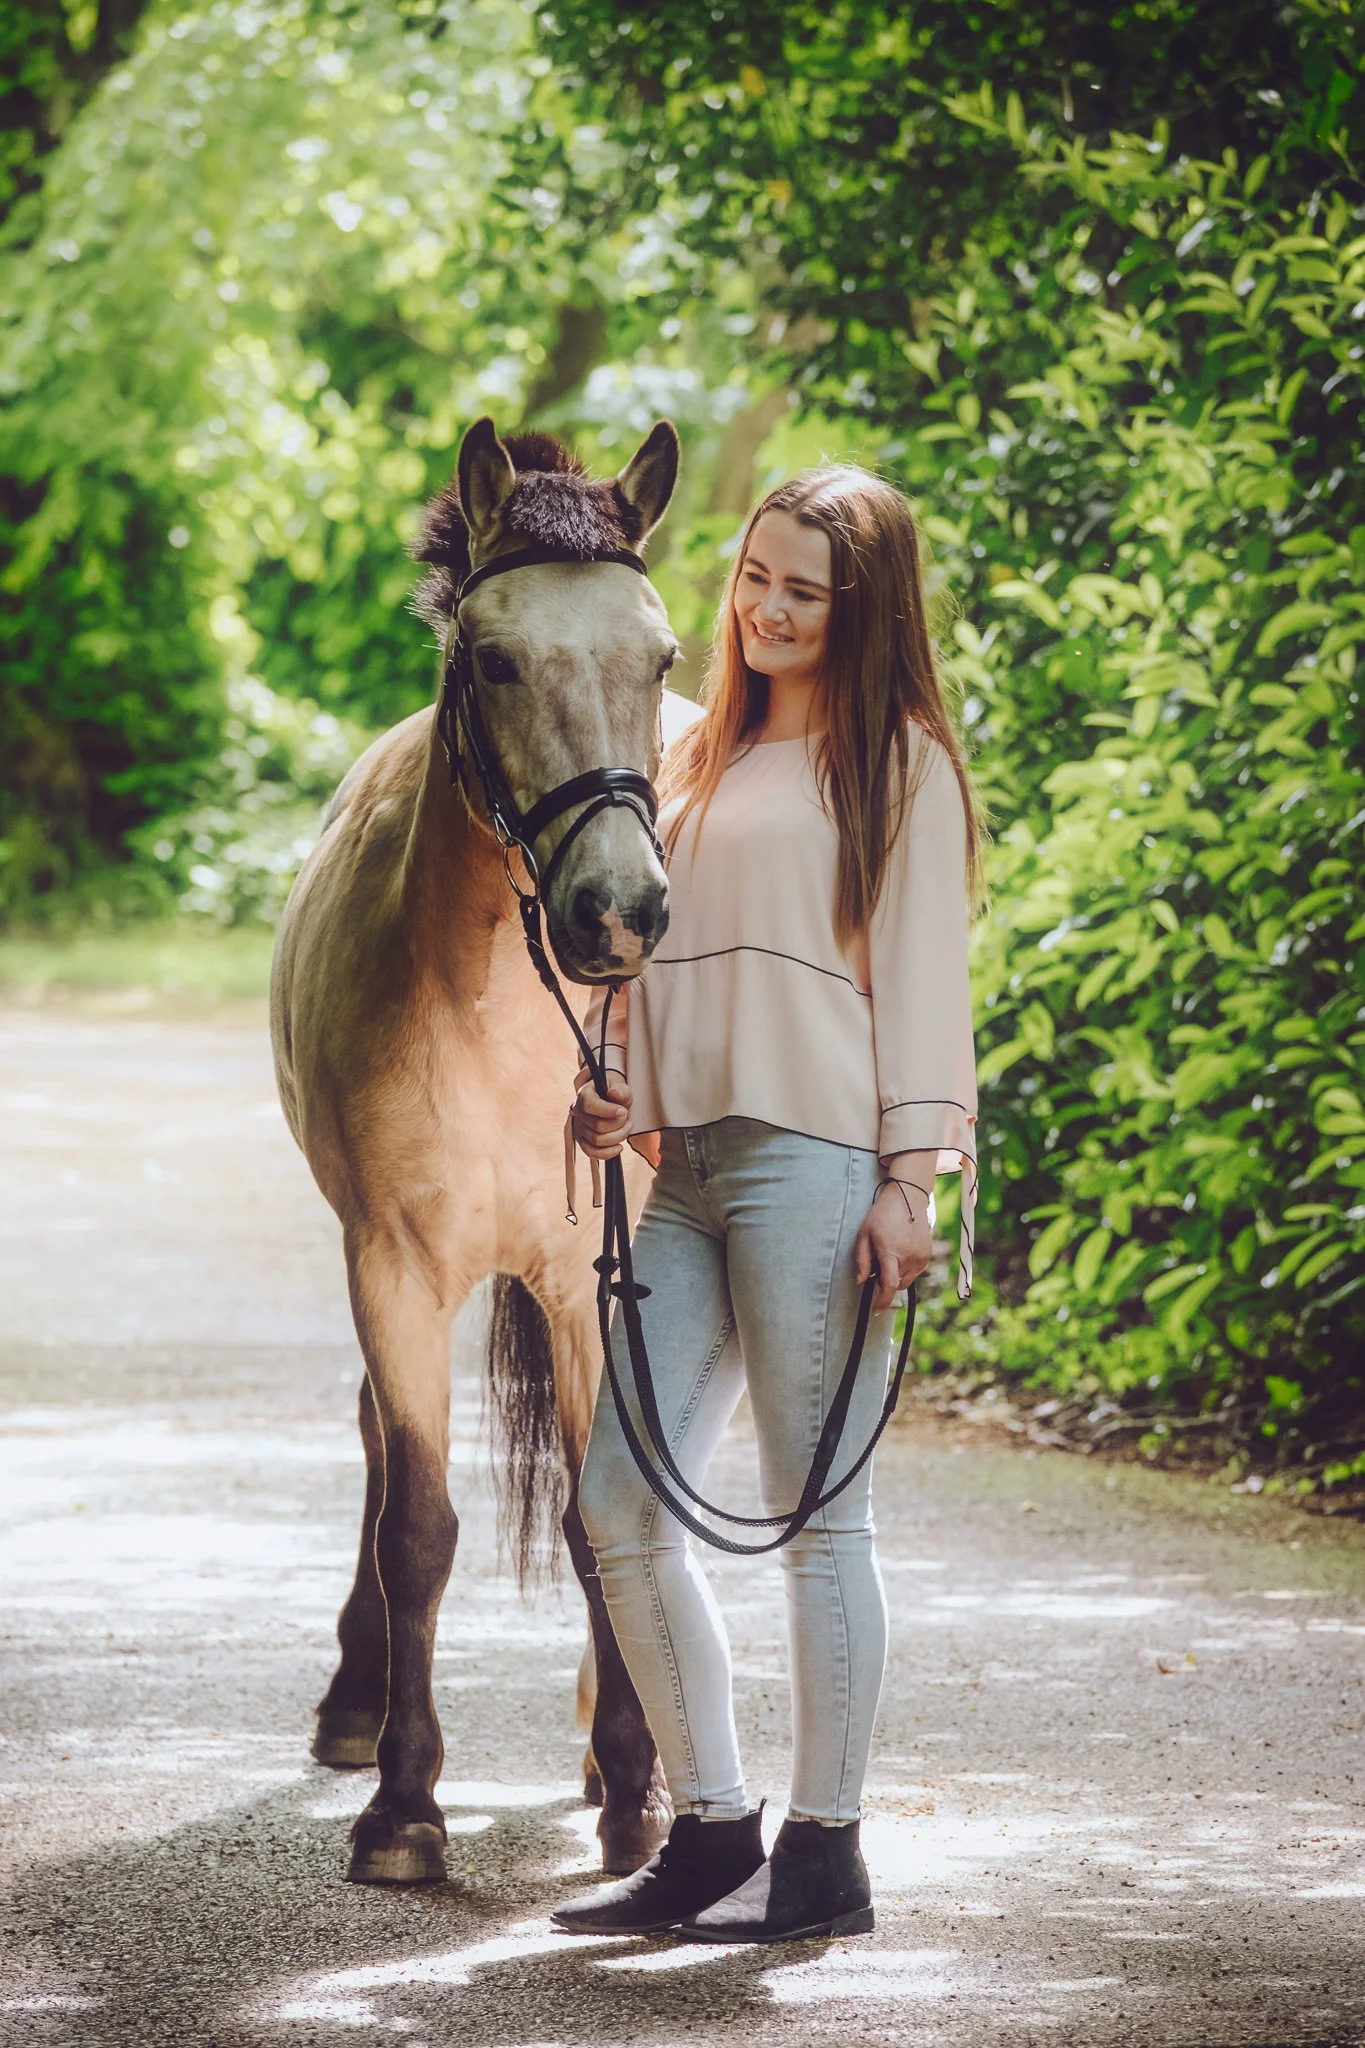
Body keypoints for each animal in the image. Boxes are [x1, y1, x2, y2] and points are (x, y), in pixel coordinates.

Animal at [270, 415, 688, 1886]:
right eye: (496, 659)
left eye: (661, 655)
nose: (618, 911)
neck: (501, 1013)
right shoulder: (391, 1264)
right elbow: (418, 1522)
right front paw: (404, 1804)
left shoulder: (584, 1282)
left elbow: (595, 1512)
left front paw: (633, 1781)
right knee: (378, 1448)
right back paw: (354, 1702)